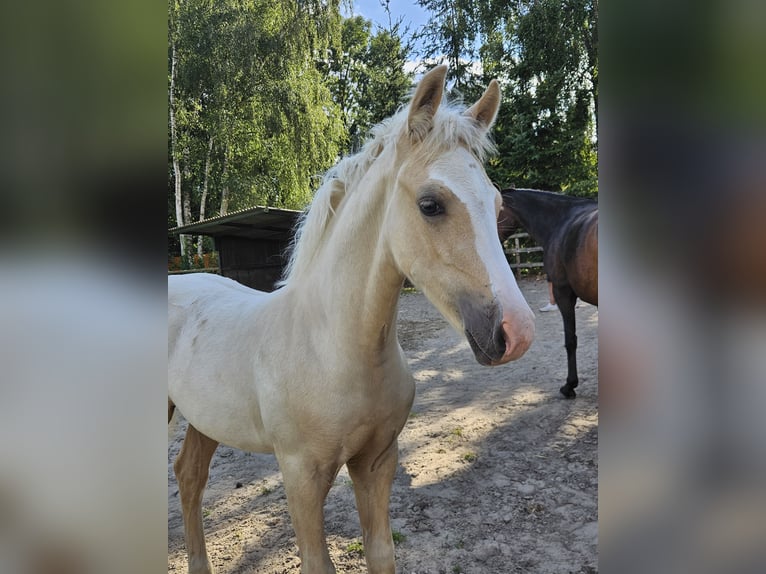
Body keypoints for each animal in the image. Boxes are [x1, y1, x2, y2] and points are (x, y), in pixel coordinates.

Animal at [168, 66, 536, 574]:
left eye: (497, 205)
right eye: (430, 204)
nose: (516, 333)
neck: (335, 349)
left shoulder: (377, 462)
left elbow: (381, 552)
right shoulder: (300, 476)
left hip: (204, 420)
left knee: (190, 477)